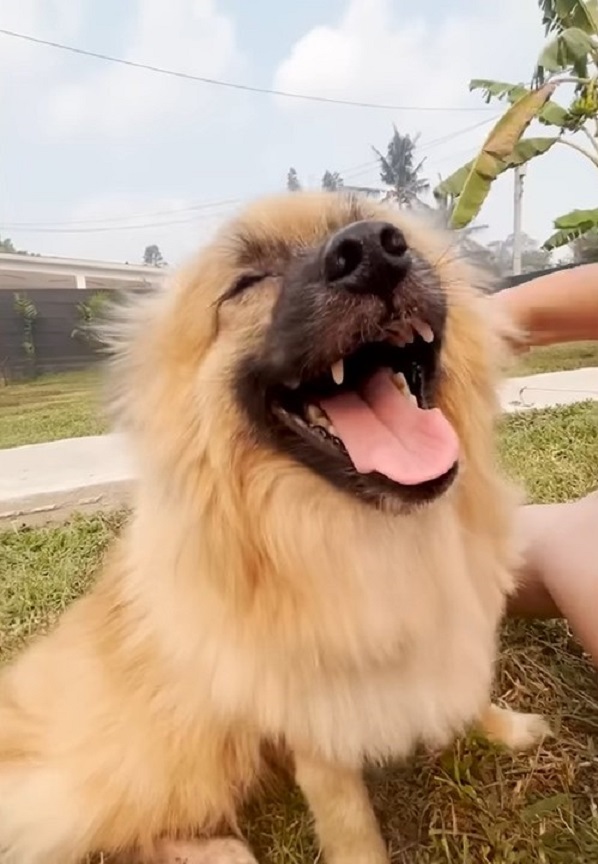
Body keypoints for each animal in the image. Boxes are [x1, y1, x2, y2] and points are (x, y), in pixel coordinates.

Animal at [0, 191, 552, 864]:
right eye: (247, 282)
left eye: (387, 230)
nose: (372, 249)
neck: (357, 525)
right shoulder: (306, 706)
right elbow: (347, 817)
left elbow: (469, 689)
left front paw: (509, 729)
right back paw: (213, 851)